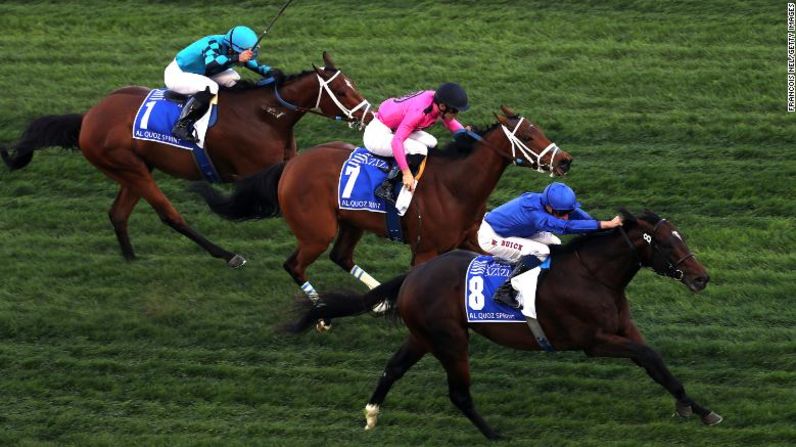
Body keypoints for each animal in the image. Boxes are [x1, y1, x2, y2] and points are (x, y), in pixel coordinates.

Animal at [0, 50, 374, 268]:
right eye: (342, 91)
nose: (369, 116)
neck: (266, 116)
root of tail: (88, 118)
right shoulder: (258, 175)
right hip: (131, 169)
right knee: (170, 215)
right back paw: (227, 255)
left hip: (133, 168)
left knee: (118, 213)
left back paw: (131, 258)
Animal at [197, 106, 576, 298]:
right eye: (527, 136)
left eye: (539, 129)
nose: (565, 160)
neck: (455, 186)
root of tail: (290, 165)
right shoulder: (424, 250)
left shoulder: (470, 239)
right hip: (316, 231)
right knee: (295, 265)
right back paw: (321, 314)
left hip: (351, 223)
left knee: (341, 256)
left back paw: (376, 301)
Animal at [290, 211, 724, 440]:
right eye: (666, 242)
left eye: (681, 236)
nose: (701, 278)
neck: (594, 276)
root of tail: (413, 276)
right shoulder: (594, 340)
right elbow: (648, 356)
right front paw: (690, 408)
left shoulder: (623, 331)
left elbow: (658, 365)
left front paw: (699, 409)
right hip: (451, 339)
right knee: (459, 393)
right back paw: (494, 435)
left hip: (423, 336)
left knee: (393, 368)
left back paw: (371, 414)